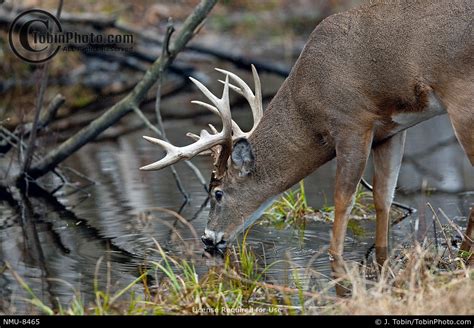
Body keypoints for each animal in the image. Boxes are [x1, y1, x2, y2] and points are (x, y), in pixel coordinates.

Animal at [139, 0, 472, 294]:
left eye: (217, 192)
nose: (208, 239)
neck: (308, 106)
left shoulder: (351, 122)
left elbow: (343, 199)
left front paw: (336, 261)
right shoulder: (389, 131)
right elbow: (383, 197)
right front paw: (382, 262)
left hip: (460, 95)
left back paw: (465, 252)